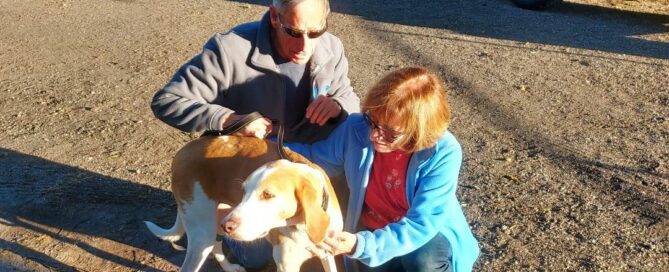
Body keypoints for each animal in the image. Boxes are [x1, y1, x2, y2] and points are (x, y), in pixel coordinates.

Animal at [144, 136, 342, 272]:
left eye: (267, 194)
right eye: (244, 190)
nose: (228, 226)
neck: (302, 226)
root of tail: (182, 152)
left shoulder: (328, 255)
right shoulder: (286, 266)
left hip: (215, 221)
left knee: (216, 245)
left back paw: (229, 267)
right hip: (203, 232)